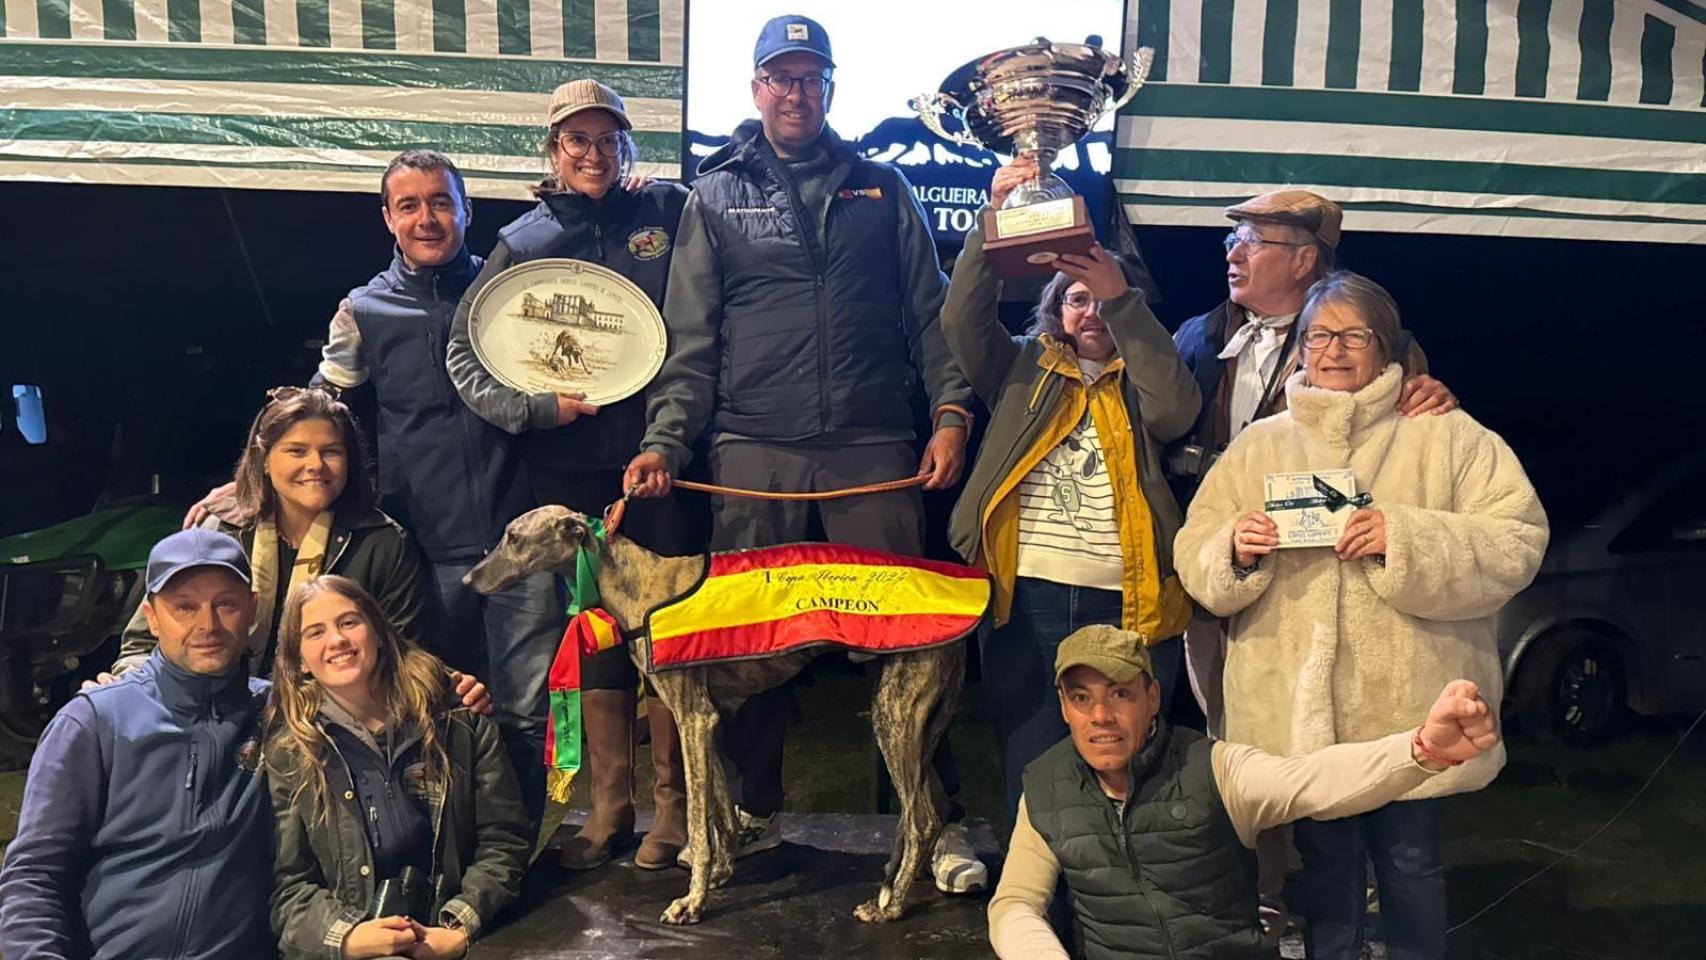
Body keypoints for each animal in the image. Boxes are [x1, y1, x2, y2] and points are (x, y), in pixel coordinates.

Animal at [467, 508, 969, 927]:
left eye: (513, 537)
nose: (469, 580)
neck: (636, 580)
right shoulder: (708, 720)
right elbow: (721, 810)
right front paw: (721, 871)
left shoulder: (692, 718)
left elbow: (697, 818)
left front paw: (692, 902)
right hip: (913, 722)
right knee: (934, 806)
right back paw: (897, 878)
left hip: (893, 715)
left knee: (923, 818)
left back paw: (890, 905)